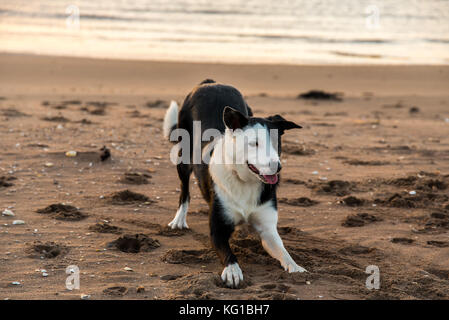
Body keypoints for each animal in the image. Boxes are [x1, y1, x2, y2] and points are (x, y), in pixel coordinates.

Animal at [161, 79, 304, 288]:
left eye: (276, 143)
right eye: (254, 143)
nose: (277, 167)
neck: (245, 181)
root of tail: (210, 83)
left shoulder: (268, 228)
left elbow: (282, 249)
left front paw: (295, 266)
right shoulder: (217, 230)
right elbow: (228, 253)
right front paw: (233, 271)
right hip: (183, 155)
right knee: (184, 190)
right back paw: (179, 218)